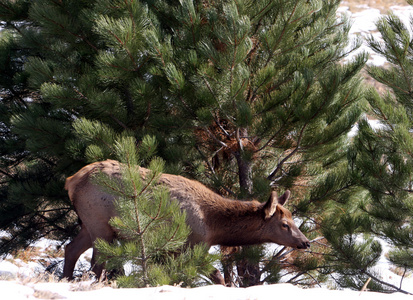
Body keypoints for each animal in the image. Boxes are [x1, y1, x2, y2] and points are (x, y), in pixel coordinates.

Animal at [62, 161, 308, 282]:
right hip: (100, 225)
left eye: (293, 219)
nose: (305, 242)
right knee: (97, 263)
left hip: (89, 225)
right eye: (284, 224)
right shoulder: (190, 246)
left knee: (71, 248)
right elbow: (216, 276)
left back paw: (66, 279)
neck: (213, 226)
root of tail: (71, 180)